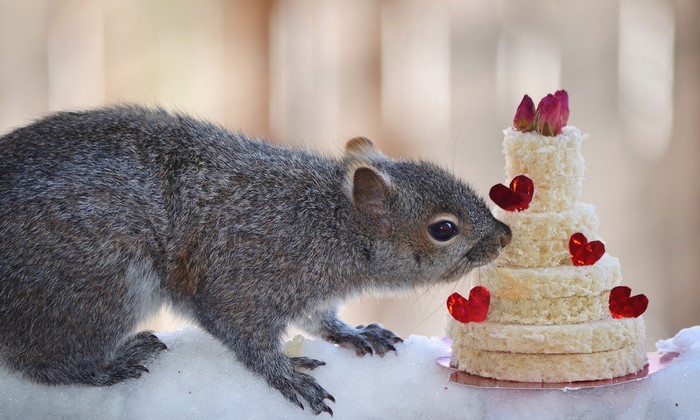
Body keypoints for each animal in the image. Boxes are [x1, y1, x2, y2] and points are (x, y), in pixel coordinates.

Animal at [0, 105, 511, 415]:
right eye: (443, 229)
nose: (504, 235)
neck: (329, 223)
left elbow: (318, 318)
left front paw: (351, 331)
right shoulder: (250, 272)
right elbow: (243, 334)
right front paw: (286, 375)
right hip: (95, 283)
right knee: (42, 362)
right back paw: (110, 364)